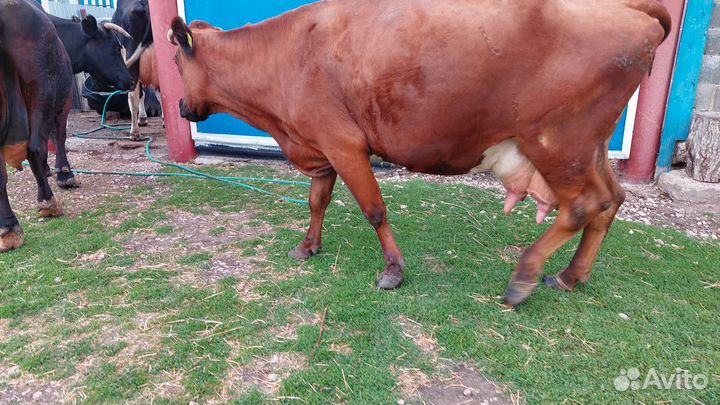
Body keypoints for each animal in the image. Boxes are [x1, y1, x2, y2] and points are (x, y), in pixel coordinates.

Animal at [1, 0, 72, 252]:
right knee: (35, 148)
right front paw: (64, 173)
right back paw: (48, 203)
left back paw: (8, 229)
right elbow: (58, 136)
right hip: (43, 89)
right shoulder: (65, 101)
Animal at [168, 0, 671, 306]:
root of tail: (629, 8)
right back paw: (570, 276)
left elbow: (373, 209)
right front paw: (308, 246)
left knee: (585, 204)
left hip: (559, 141)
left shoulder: (343, 142)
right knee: (611, 200)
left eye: (174, 60)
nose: (179, 106)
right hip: (590, 145)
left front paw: (393, 270)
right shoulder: (319, 144)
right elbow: (317, 201)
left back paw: (524, 276)